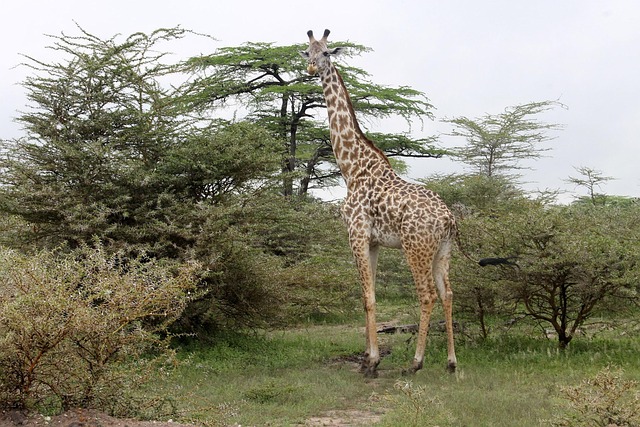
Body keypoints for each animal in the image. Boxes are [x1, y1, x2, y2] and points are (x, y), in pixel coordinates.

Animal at [301, 29, 458, 378]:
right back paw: (452, 362)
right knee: (448, 294)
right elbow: (368, 295)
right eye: (308, 51)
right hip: (442, 251)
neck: (352, 168)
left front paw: (371, 362)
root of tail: (448, 219)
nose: (312, 68)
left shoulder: (356, 234)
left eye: (327, 52)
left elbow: (368, 296)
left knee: (427, 295)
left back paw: (416, 362)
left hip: (416, 248)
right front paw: (367, 356)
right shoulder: (373, 241)